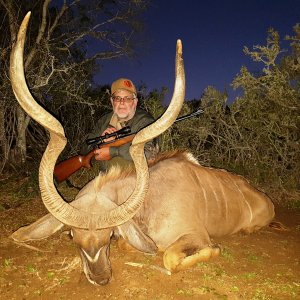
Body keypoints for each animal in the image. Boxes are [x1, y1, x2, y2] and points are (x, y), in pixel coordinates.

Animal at [11, 12, 274, 288]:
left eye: (109, 235)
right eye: (72, 236)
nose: (101, 278)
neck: (151, 200)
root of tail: (266, 200)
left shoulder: (196, 234)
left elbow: (170, 256)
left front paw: (214, 250)